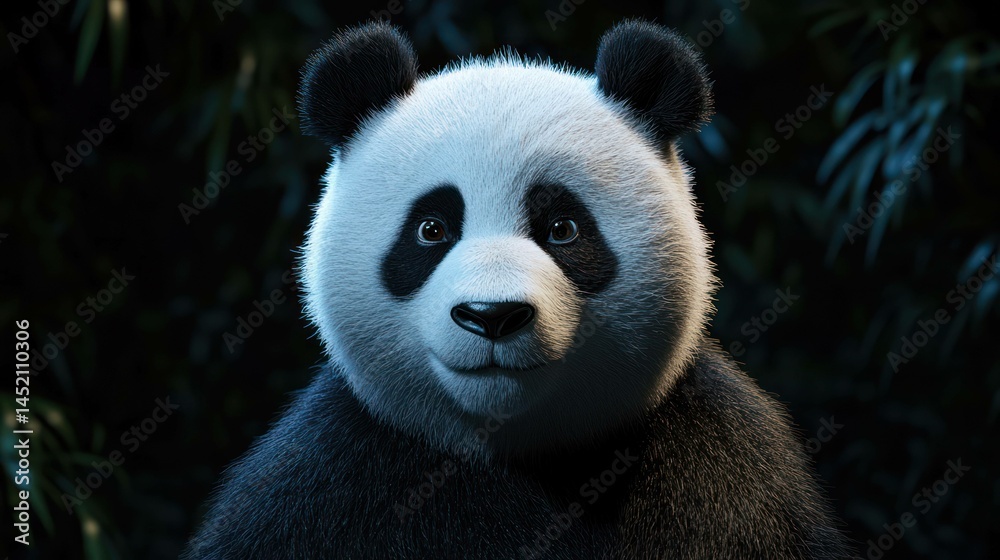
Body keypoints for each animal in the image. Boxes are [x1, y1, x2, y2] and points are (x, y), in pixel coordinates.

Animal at [185, 20, 853, 559]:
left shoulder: (721, 474)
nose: (492, 315)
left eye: (562, 228)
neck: (516, 450)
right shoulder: (332, 484)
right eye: (432, 229)